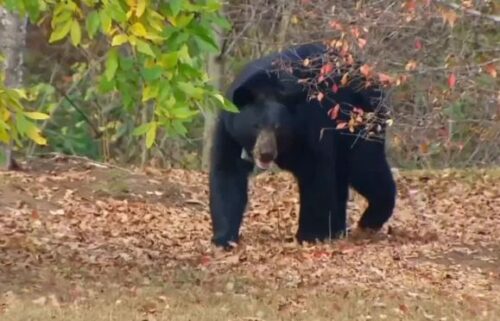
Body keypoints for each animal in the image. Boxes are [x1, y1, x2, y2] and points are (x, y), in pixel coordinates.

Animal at [209, 42, 396, 248]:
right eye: (255, 126)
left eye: (278, 127)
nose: (266, 154)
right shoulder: (229, 130)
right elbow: (228, 171)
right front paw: (224, 237)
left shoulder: (308, 124)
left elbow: (315, 172)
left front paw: (309, 234)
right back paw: (338, 228)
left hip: (358, 119)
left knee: (365, 166)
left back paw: (370, 219)